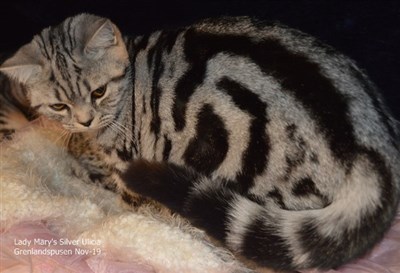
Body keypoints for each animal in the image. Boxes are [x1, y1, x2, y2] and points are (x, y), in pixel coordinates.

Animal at [0, 13, 400, 268]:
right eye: (59, 105)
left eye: (98, 92)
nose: (85, 119)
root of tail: (373, 151)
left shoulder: (126, 163)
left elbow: (110, 181)